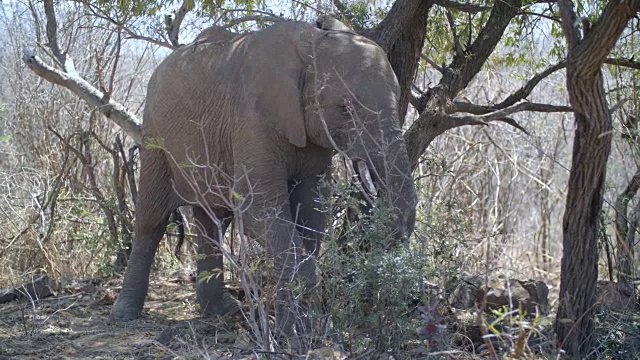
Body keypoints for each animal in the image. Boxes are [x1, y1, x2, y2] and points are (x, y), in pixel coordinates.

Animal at [112, 20, 418, 338]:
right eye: (345, 108)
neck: (310, 46)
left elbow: (311, 211)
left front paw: (298, 329)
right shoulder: (252, 120)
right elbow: (259, 209)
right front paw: (296, 334)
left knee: (213, 222)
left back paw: (222, 311)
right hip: (155, 137)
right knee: (151, 219)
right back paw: (124, 314)